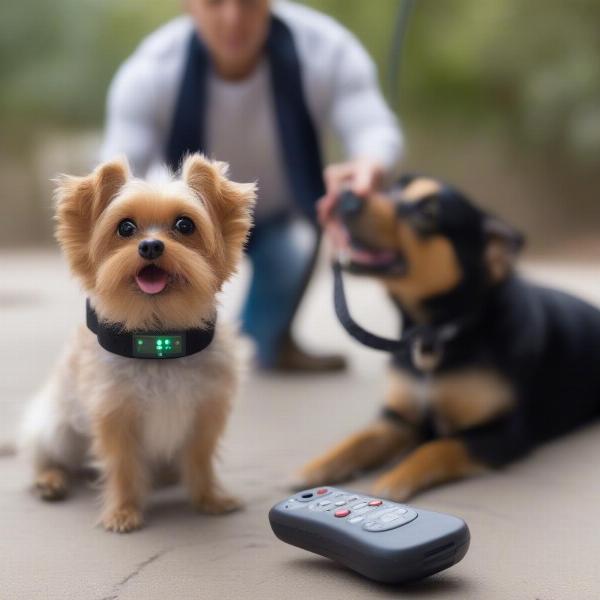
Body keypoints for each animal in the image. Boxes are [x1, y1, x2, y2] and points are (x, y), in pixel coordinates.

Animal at [18, 152, 255, 532]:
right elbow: (123, 466)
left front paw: (209, 498)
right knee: (51, 458)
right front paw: (123, 511)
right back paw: (50, 479)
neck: (159, 337)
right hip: (57, 428)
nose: (151, 245)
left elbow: (200, 459)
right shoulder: (115, 415)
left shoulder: (206, 411)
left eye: (185, 225)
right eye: (126, 228)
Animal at [296, 176, 600, 500]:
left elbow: (437, 447)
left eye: (427, 213)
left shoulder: (504, 433)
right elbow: (360, 439)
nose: (345, 195)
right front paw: (317, 467)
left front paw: (393, 482)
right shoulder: (396, 419)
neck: (433, 333)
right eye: (390, 188)